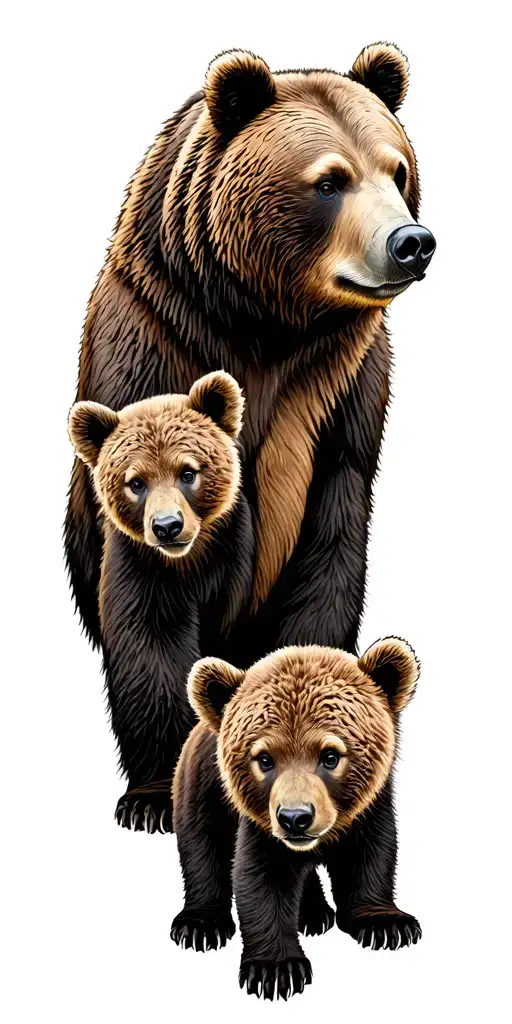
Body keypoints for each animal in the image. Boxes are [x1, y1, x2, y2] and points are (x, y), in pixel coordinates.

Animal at [68, 371, 254, 831]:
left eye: (188, 472)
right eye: (136, 482)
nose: (168, 526)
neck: (190, 566)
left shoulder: (237, 565)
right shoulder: (140, 572)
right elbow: (151, 660)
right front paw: (149, 802)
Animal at [171, 638, 421, 1000]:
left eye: (330, 755)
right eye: (264, 758)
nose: (295, 818)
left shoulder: (370, 809)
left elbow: (371, 855)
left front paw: (387, 924)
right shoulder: (259, 824)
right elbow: (261, 878)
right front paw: (277, 969)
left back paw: (314, 915)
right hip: (201, 787)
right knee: (202, 845)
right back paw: (200, 924)